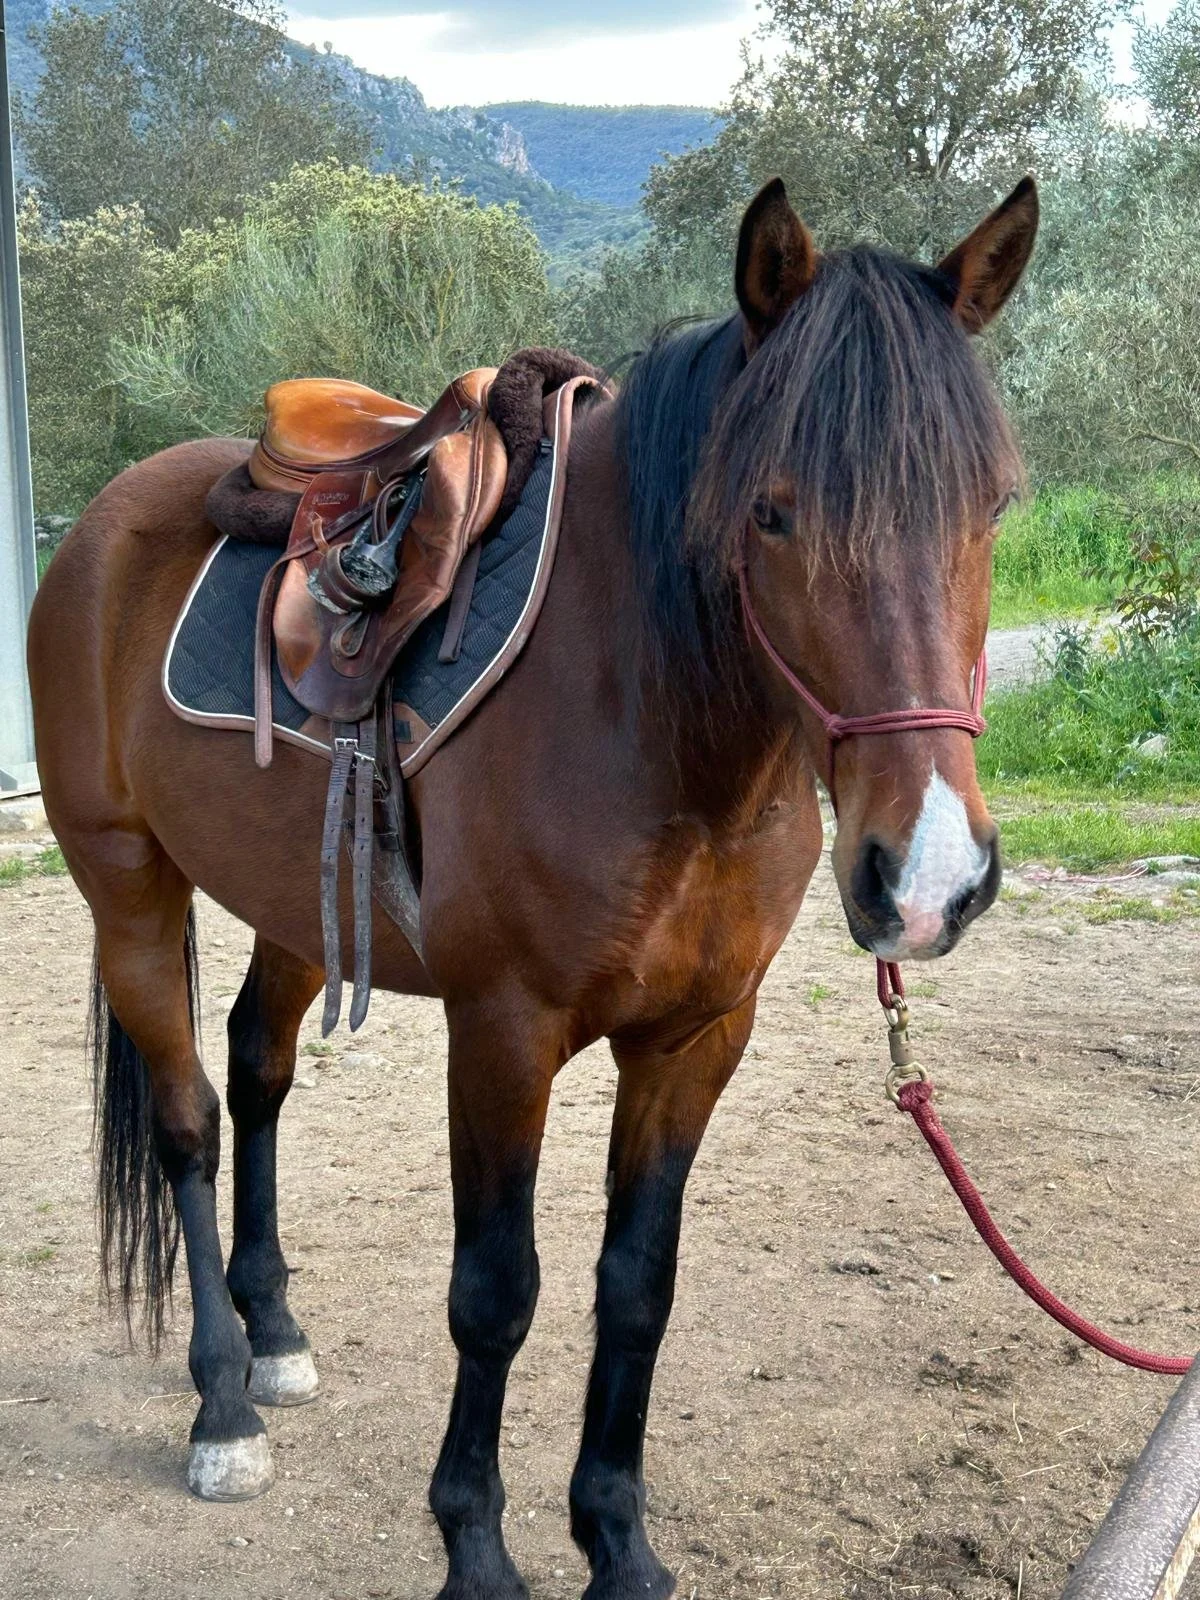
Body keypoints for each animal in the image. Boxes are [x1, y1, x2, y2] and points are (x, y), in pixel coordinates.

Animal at [27, 174, 1038, 1600]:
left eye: (991, 505)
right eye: (771, 510)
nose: (931, 876)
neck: (645, 709)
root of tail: (103, 525)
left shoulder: (697, 1036)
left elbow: (638, 1286)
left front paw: (618, 1541)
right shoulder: (503, 1030)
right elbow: (496, 1294)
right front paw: (476, 1546)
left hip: (296, 904)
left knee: (259, 1070)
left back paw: (273, 1331)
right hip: (127, 889)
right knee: (188, 1122)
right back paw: (222, 1404)